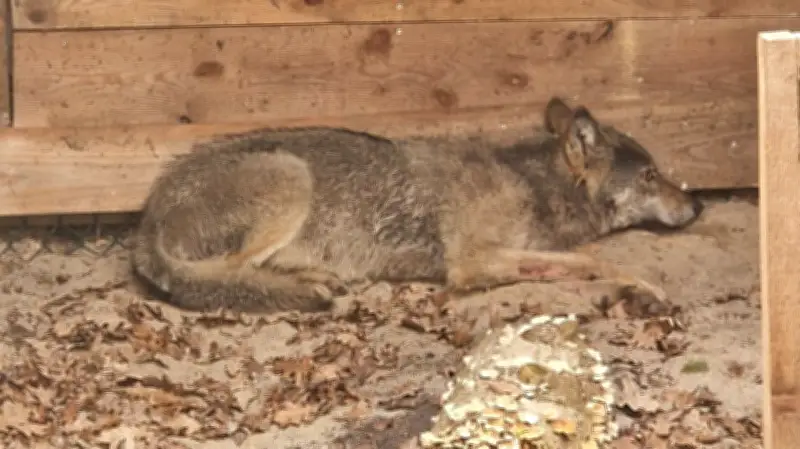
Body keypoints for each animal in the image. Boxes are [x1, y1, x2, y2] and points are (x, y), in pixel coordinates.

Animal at [131, 97, 703, 314]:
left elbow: (578, 259)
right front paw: (644, 286)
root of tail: (148, 215)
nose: (698, 206)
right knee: (230, 274)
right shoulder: (471, 259)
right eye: (651, 176)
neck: (531, 183)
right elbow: (591, 260)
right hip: (291, 176)